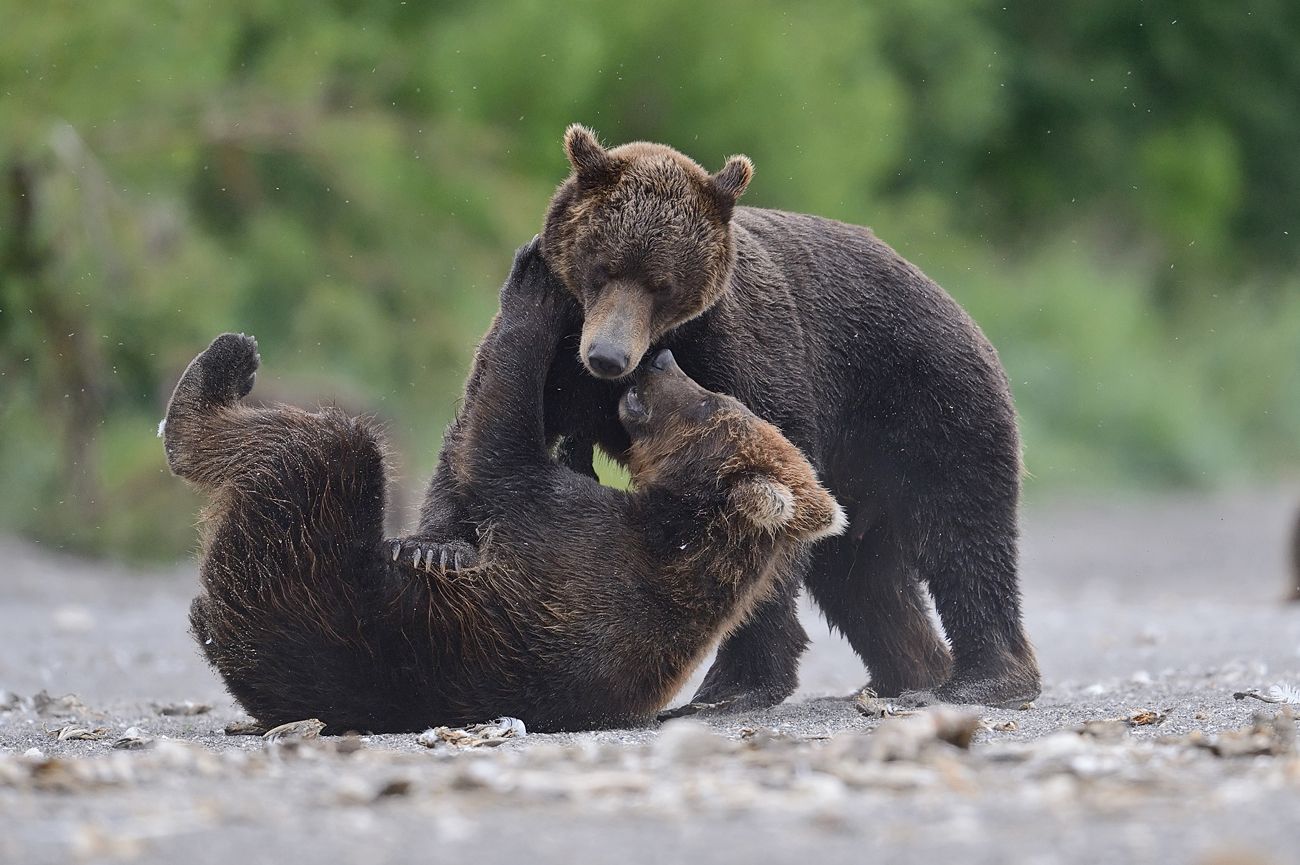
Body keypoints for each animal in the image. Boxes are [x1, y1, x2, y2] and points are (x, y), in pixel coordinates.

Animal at [159, 240, 842, 728]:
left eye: (712, 404)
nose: (660, 360)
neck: (677, 529)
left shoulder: (574, 539)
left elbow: (497, 444)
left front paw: (535, 282)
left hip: (308, 570)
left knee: (323, 448)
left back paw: (221, 370)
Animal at [390, 126, 1040, 707]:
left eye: (661, 283)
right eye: (603, 267)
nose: (608, 357)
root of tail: (950, 299)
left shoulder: (745, 358)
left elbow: (760, 525)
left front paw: (737, 683)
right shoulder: (563, 364)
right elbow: (476, 426)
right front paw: (432, 546)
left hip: (924, 401)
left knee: (964, 535)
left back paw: (987, 678)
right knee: (862, 575)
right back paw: (910, 674)